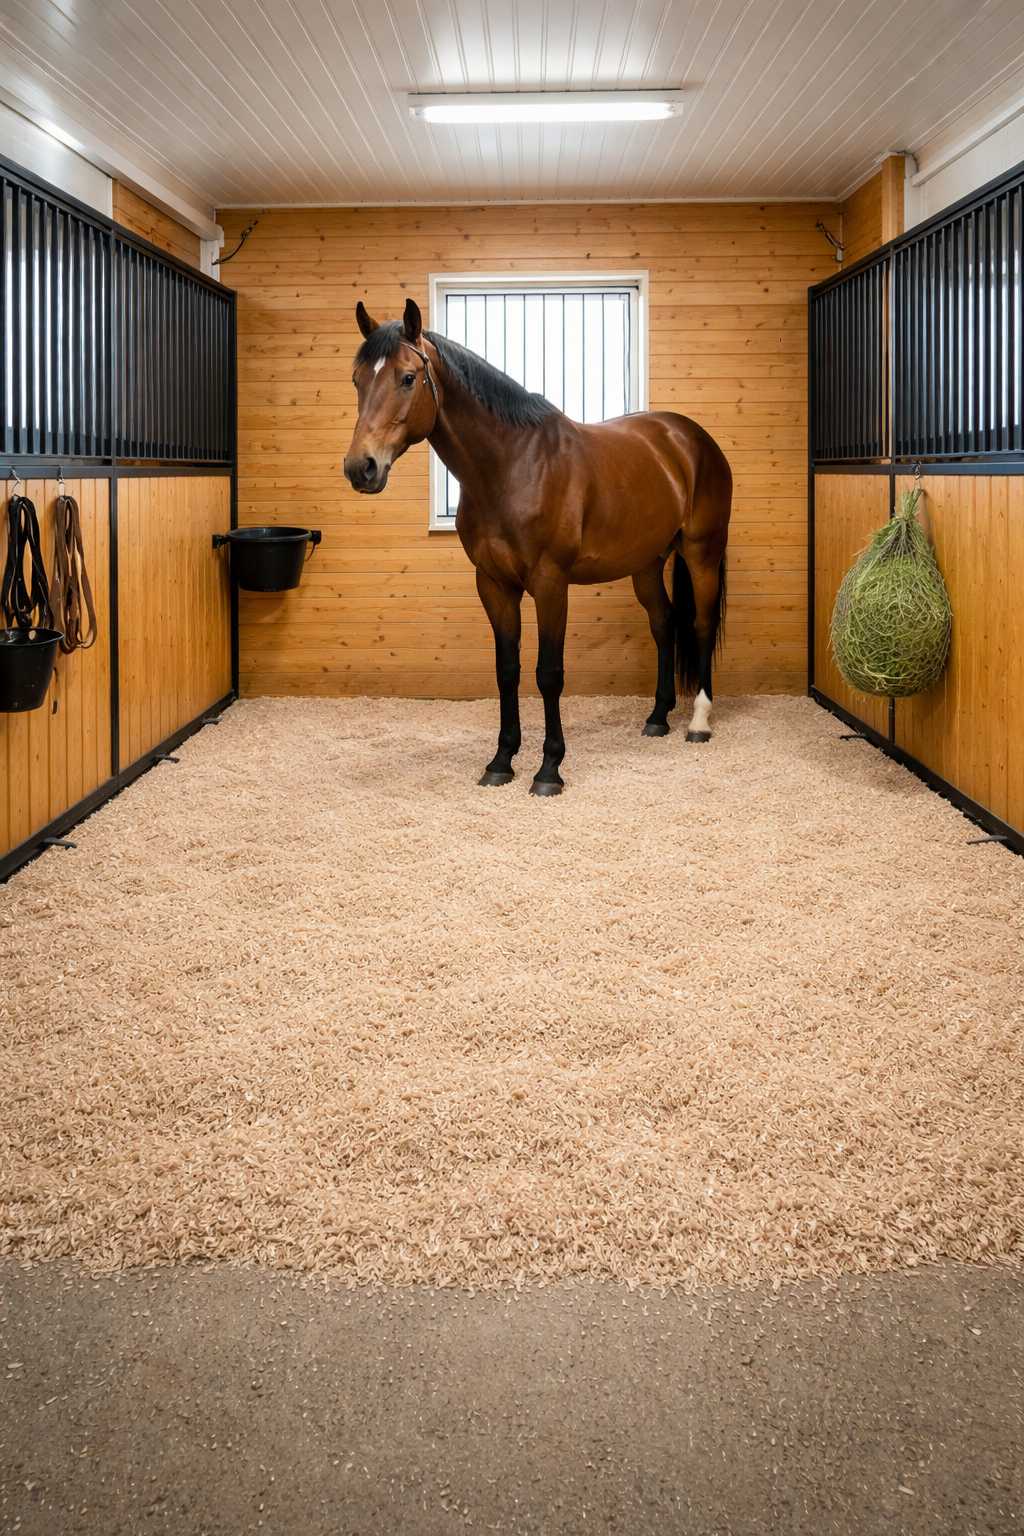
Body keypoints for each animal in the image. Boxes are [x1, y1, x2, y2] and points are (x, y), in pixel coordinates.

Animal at [344, 298, 731, 796]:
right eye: (358, 379)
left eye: (408, 377)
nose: (361, 467)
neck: (512, 466)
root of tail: (689, 437)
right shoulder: (493, 584)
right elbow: (507, 670)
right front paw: (501, 761)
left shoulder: (550, 584)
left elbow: (548, 674)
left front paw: (549, 768)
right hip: (646, 563)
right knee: (664, 625)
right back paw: (658, 718)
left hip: (702, 552)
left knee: (700, 624)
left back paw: (699, 722)